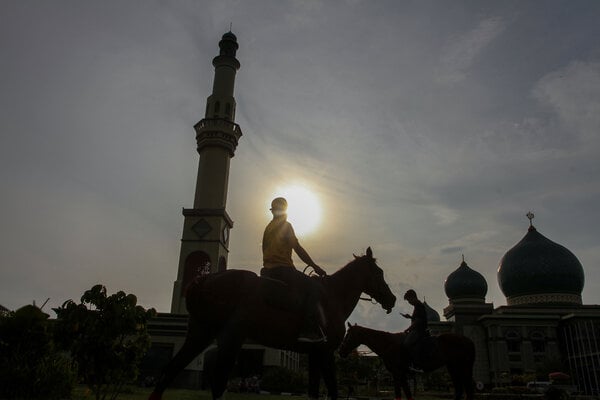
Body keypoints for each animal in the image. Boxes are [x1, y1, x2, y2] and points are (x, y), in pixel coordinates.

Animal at [148, 247, 396, 400]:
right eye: (379, 272)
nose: (392, 299)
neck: (331, 298)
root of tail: (204, 280)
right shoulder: (325, 353)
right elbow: (333, 391)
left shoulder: (315, 354)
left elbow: (314, 392)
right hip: (231, 338)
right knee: (217, 383)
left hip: (201, 334)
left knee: (171, 370)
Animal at [340, 324, 476, 400]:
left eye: (348, 334)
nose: (341, 351)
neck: (388, 344)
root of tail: (468, 341)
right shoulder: (402, 374)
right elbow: (408, 394)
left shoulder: (397, 373)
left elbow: (398, 394)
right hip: (453, 367)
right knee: (460, 390)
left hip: (461, 367)